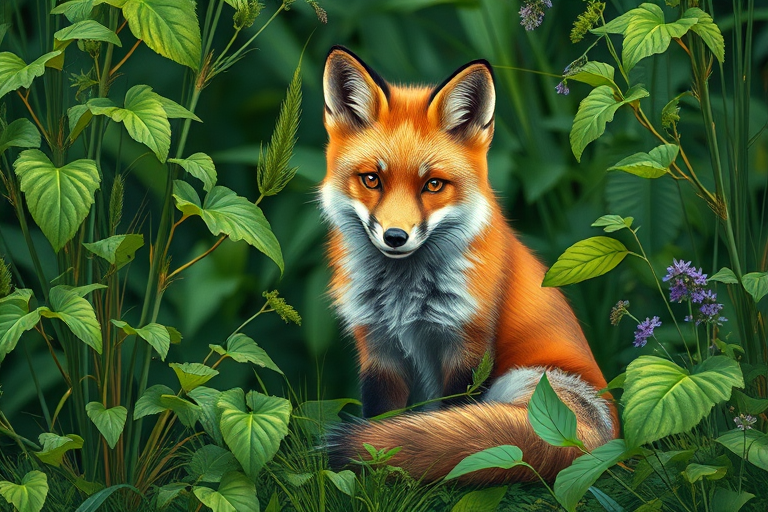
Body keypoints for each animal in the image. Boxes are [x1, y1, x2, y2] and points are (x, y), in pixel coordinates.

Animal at [319, 45, 618, 484]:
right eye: (372, 179)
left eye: (433, 185)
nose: (395, 237)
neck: (404, 299)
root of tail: (610, 434)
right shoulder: (377, 346)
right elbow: (382, 417)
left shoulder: (468, 345)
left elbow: (449, 414)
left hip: (522, 380)